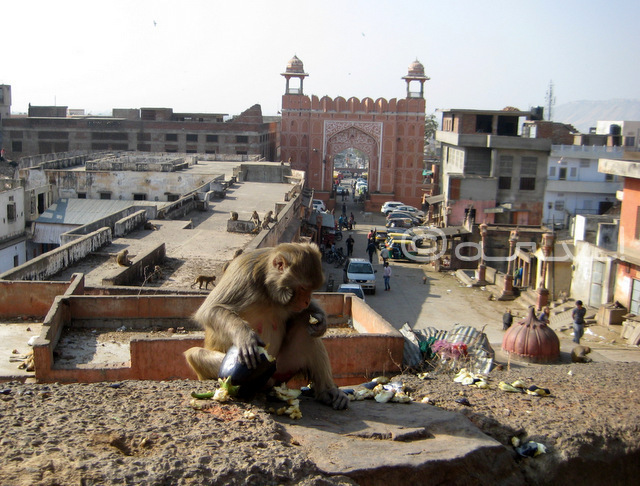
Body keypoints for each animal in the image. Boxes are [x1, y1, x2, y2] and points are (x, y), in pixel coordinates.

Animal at [184, 242, 349, 410]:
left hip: (284, 366)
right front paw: (245, 336)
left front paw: (321, 321)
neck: (268, 288)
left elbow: (304, 315)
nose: (306, 301)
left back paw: (328, 392)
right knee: (195, 354)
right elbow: (211, 309)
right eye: (303, 288)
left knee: (305, 329)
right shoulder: (243, 275)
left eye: (311, 290)